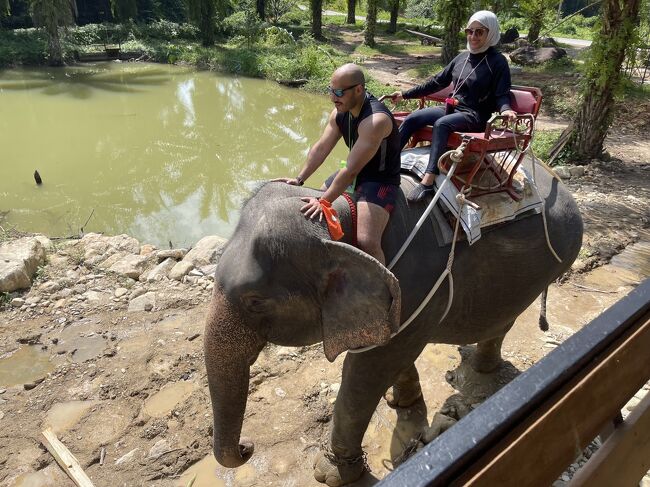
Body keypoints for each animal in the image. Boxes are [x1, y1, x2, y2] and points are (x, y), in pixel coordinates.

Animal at [204, 157, 584, 487]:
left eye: (255, 301)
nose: (247, 446)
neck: (341, 217)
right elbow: (391, 352)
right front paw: (398, 401)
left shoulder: (415, 284)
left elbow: (367, 370)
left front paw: (331, 475)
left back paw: (482, 368)